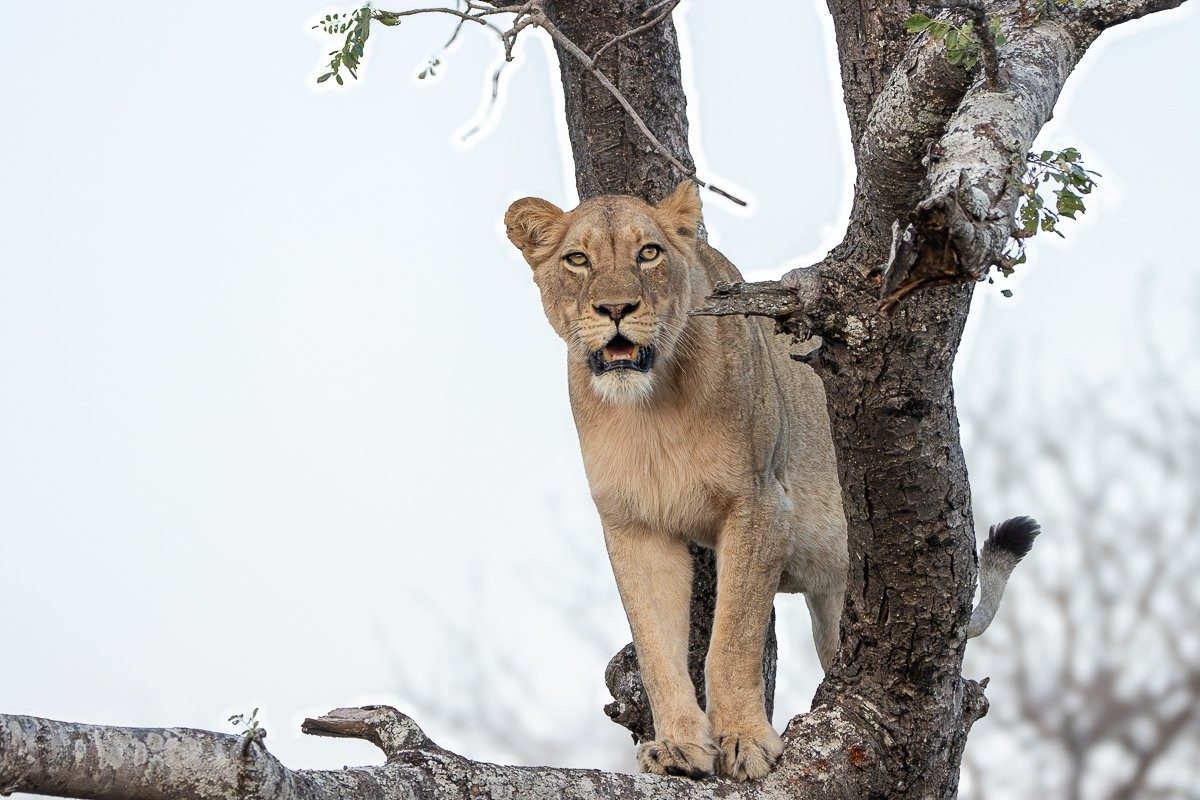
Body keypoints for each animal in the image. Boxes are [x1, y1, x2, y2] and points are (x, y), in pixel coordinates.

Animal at [503, 181, 1039, 782]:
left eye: (649, 253)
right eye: (577, 259)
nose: (616, 308)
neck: (648, 409)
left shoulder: (759, 501)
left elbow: (732, 639)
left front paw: (744, 740)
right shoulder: (635, 526)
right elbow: (657, 648)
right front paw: (678, 747)